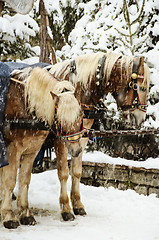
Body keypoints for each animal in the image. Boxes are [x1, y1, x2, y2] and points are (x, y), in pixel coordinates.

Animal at [0, 66, 84, 229]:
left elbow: (24, 179)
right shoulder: (12, 150)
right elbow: (10, 180)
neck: (25, 103)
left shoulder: (31, 150)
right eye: (62, 120)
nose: (77, 150)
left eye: (81, 116)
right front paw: (8, 216)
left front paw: (25, 214)